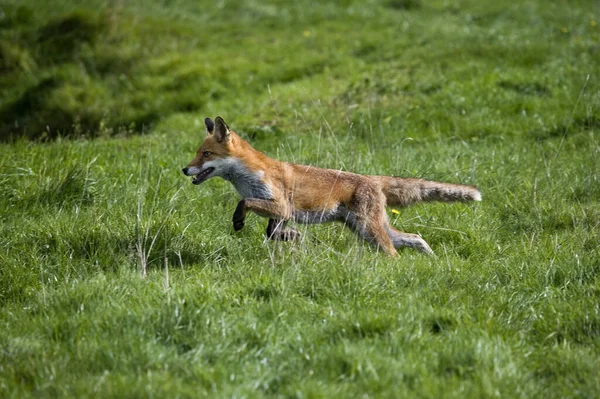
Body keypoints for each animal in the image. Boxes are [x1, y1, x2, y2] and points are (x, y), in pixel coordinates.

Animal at [180, 117, 480, 258]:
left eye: (205, 154)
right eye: (197, 153)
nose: (184, 169)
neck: (246, 178)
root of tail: (373, 178)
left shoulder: (280, 205)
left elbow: (244, 204)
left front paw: (238, 221)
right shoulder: (280, 215)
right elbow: (272, 233)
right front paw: (293, 237)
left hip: (369, 230)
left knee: (394, 251)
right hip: (367, 229)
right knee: (415, 237)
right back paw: (431, 258)